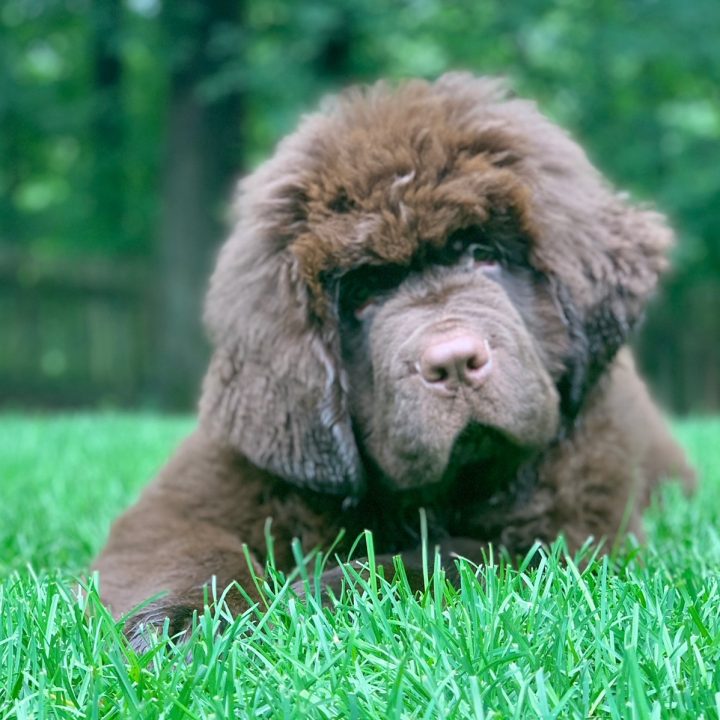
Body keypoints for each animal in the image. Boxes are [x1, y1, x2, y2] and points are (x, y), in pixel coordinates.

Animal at [93, 76, 696, 644]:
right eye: (363, 296)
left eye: (484, 255)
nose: (454, 361)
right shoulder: (198, 495)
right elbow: (184, 551)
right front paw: (179, 623)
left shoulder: (571, 530)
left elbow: (455, 556)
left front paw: (309, 594)